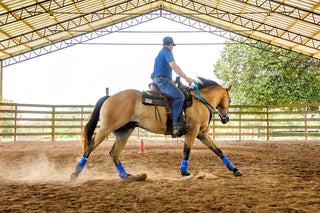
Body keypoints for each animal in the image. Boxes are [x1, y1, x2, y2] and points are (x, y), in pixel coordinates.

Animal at [70, 77, 242, 181]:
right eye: (230, 100)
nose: (226, 118)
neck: (200, 101)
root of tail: (110, 96)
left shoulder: (202, 134)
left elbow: (218, 150)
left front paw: (235, 170)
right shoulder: (192, 132)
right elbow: (187, 151)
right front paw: (185, 172)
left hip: (124, 132)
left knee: (114, 153)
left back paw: (127, 175)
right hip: (107, 128)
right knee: (91, 146)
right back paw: (75, 173)